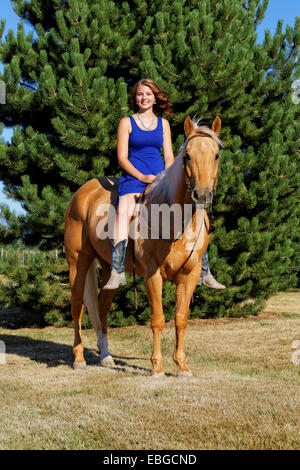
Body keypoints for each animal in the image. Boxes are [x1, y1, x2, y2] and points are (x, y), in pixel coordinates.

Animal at [64, 115, 221, 376]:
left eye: (216, 155)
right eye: (187, 156)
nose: (202, 195)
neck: (174, 220)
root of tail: (83, 193)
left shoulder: (189, 275)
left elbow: (181, 318)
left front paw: (182, 366)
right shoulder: (152, 274)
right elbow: (158, 318)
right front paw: (157, 367)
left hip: (109, 270)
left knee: (102, 307)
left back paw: (106, 357)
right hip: (78, 262)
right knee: (78, 306)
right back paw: (78, 359)